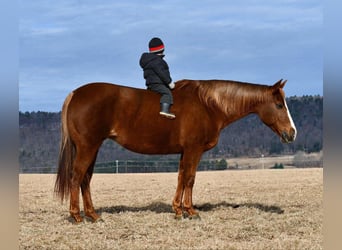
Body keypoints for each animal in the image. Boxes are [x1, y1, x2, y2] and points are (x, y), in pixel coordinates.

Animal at [54, 78, 296, 223]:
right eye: (279, 105)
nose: (292, 133)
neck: (208, 105)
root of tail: (75, 93)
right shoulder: (194, 149)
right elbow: (190, 178)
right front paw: (190, 210)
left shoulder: (185, 151)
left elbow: (181, 177)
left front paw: (178, 209)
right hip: (88, 147)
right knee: (77, 177)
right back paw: (77, 216)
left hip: (92, 148)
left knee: (85, 179)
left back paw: (93, 215)